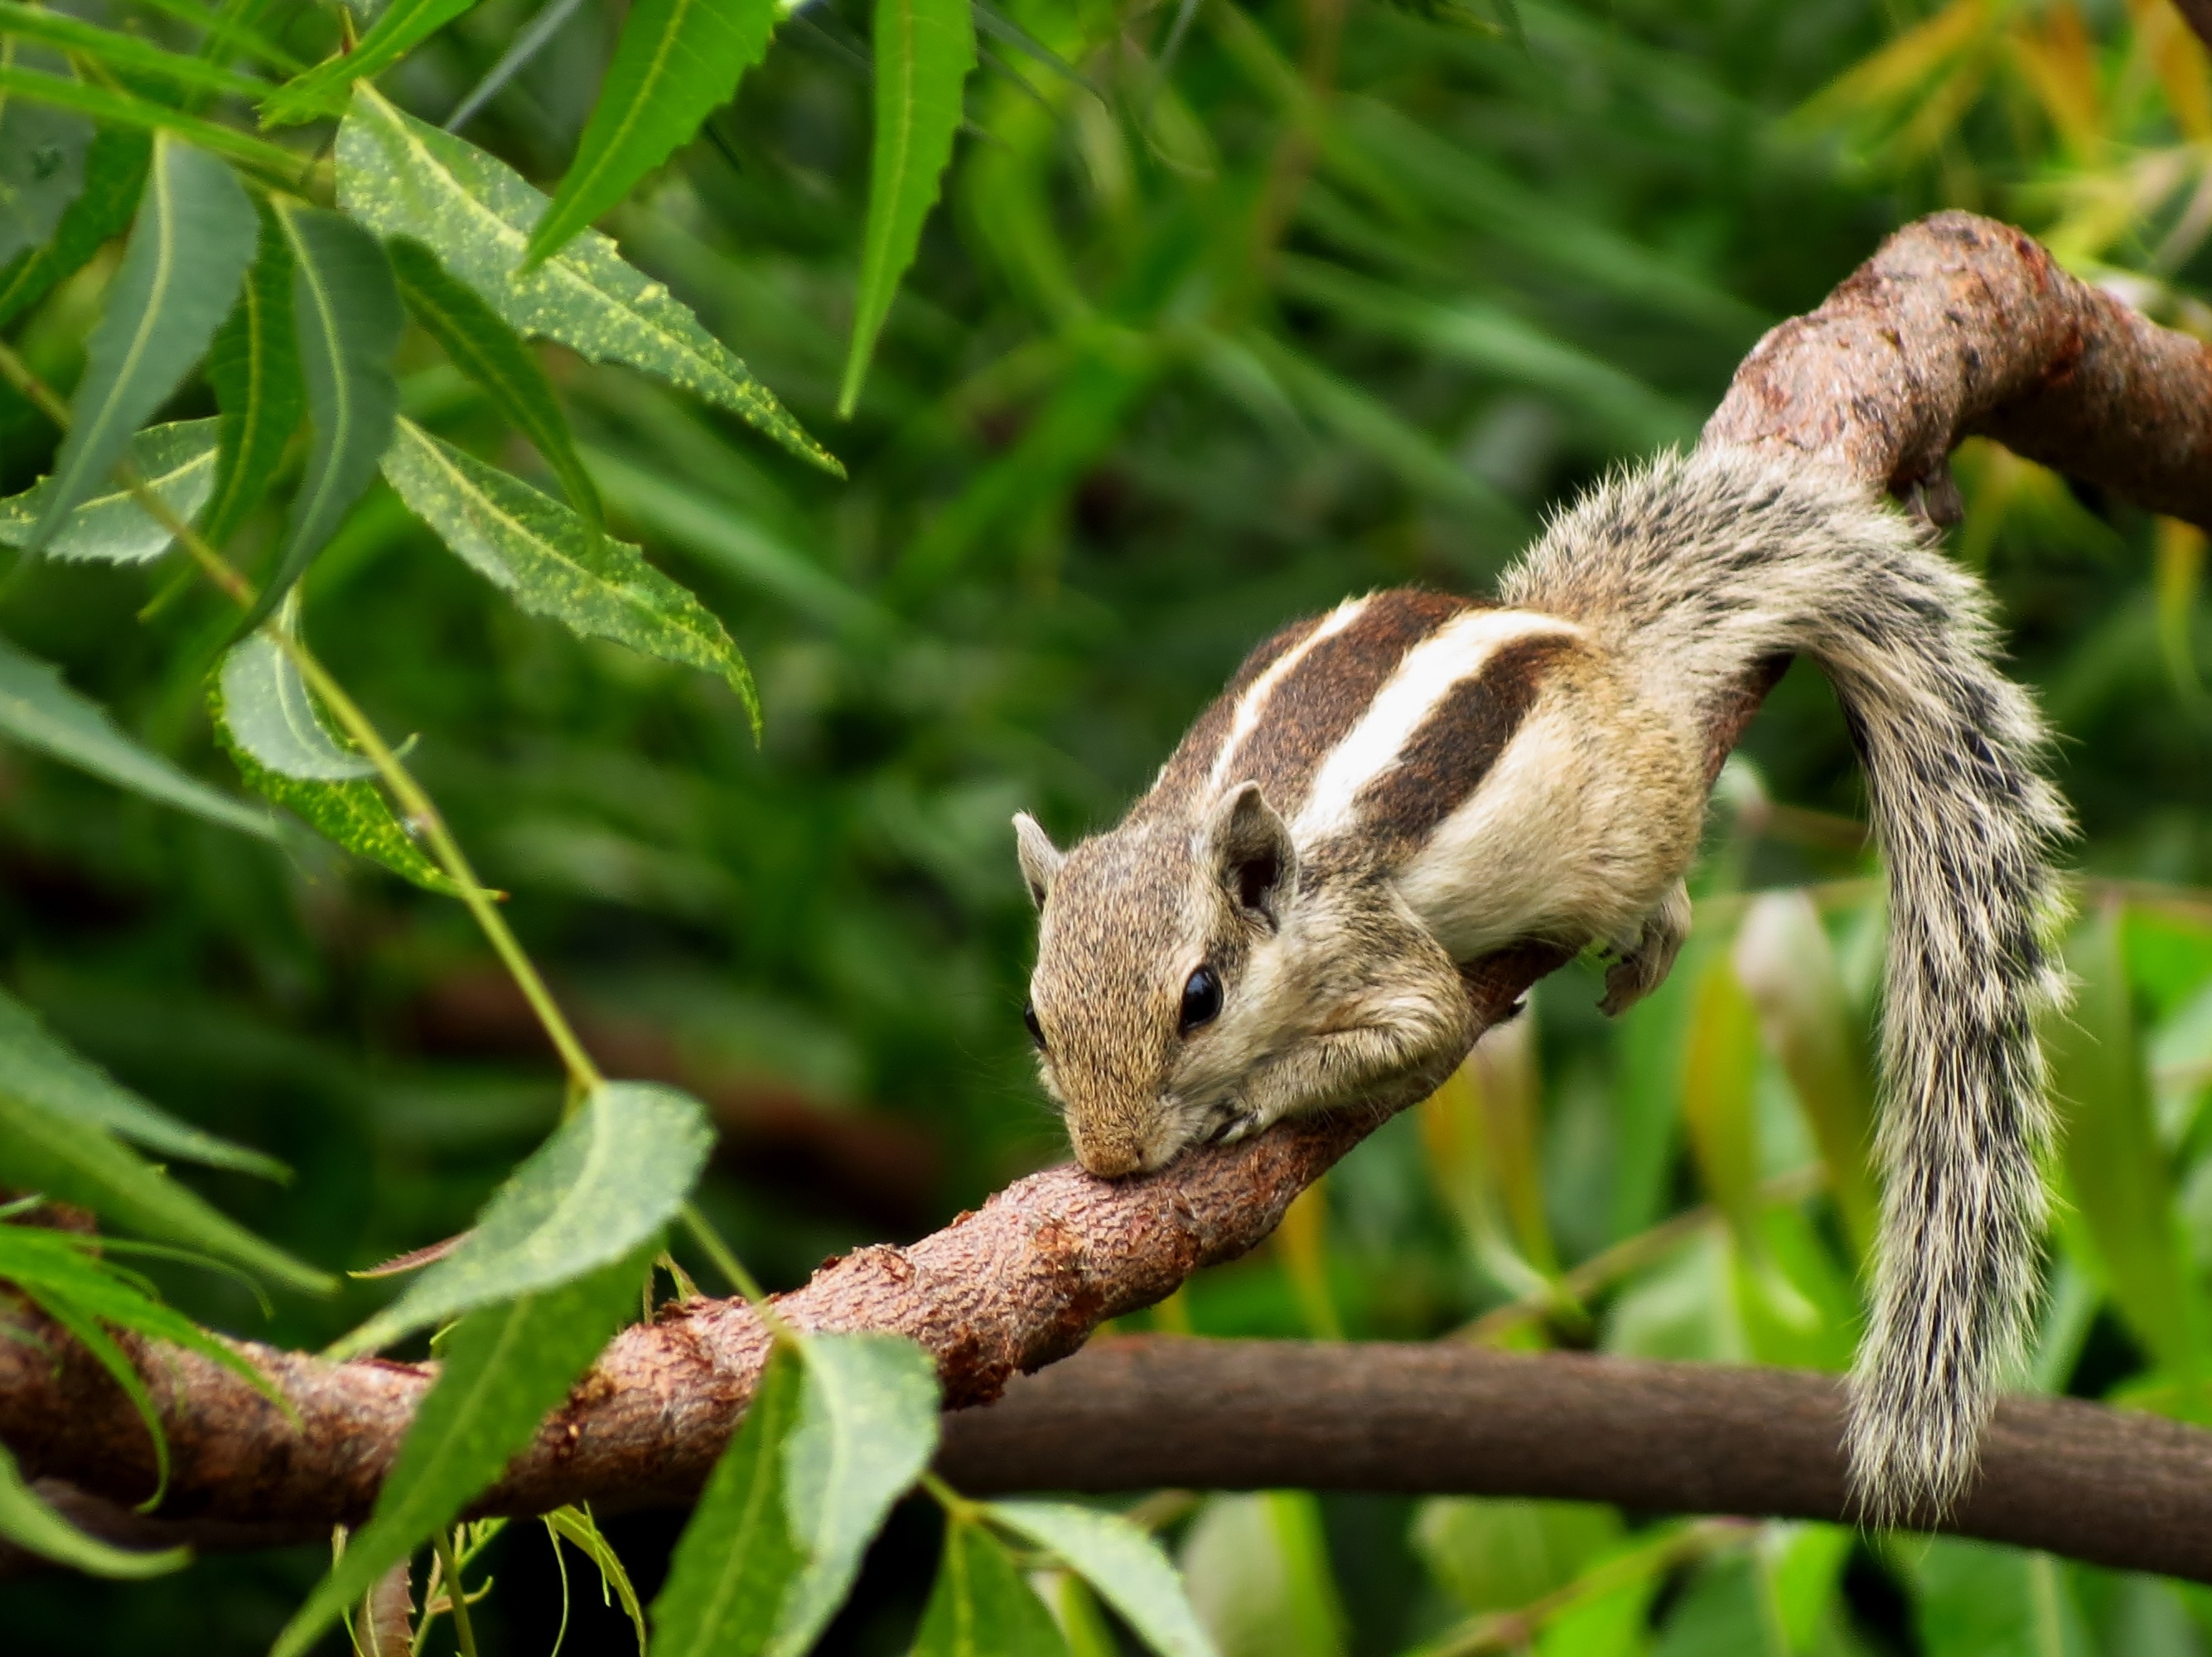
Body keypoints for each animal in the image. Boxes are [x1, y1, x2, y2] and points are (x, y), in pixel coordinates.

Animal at [1013, 446, 2069, 1522]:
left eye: (1201, 999)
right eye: (1034, 1018)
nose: (1110, 1158)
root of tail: (1587, 634)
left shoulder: (1374, 944)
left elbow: (1424, 1027)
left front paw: (1250, 1095)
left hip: (1631, 823)